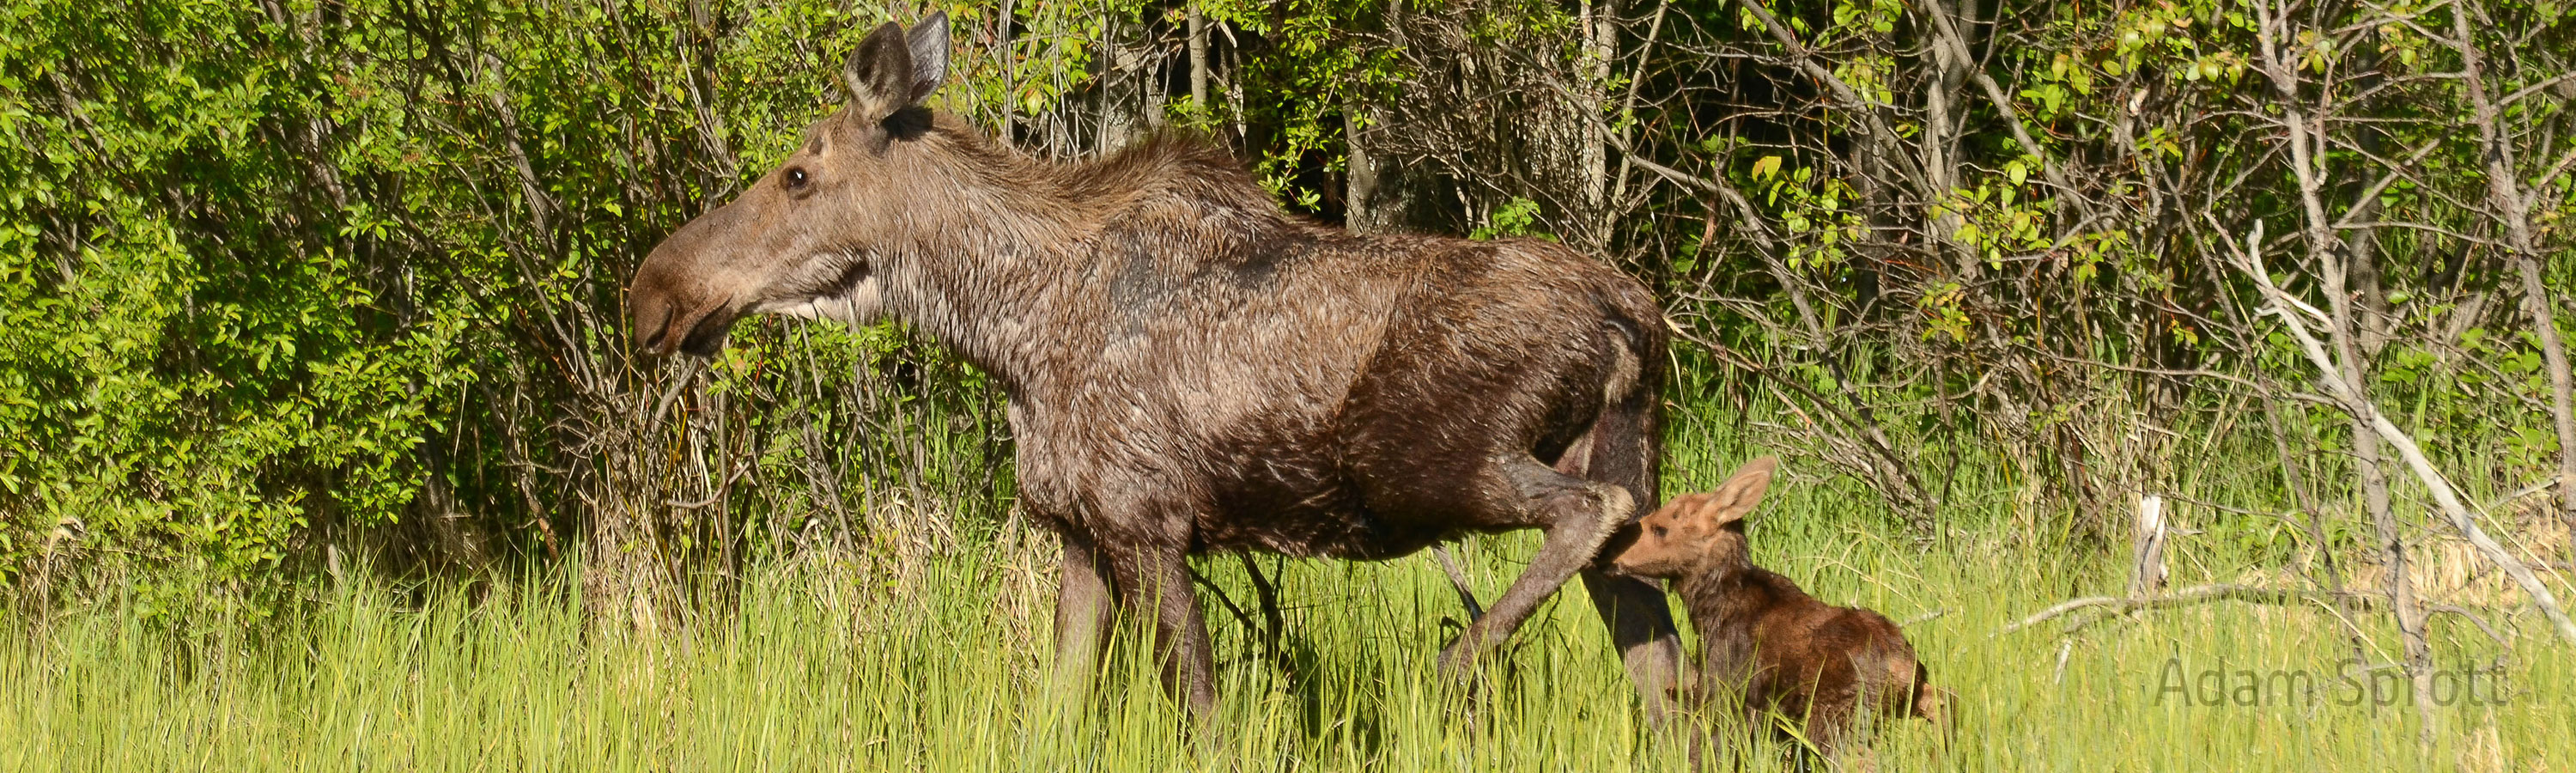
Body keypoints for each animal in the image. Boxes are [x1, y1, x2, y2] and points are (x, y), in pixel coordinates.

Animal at [626, 12, 1690, 721]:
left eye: (799, 175)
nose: (653, 295)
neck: (1005, 331)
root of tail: (1635, 316)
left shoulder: (1147, 524)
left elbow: (1203, 718)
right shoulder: (1078, 535)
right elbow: (1054, 717)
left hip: (1431, 466)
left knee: (1589, 518)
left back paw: (1447, 669)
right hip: (1614, 457)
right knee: (1666, 664)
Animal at [1597, 456, 1937, 758]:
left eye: (1661, 528)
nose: (1608, 551)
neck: (1708, 610)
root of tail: (1904, 669)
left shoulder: (1730, 691)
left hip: (1837, 718)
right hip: (1915, 700)